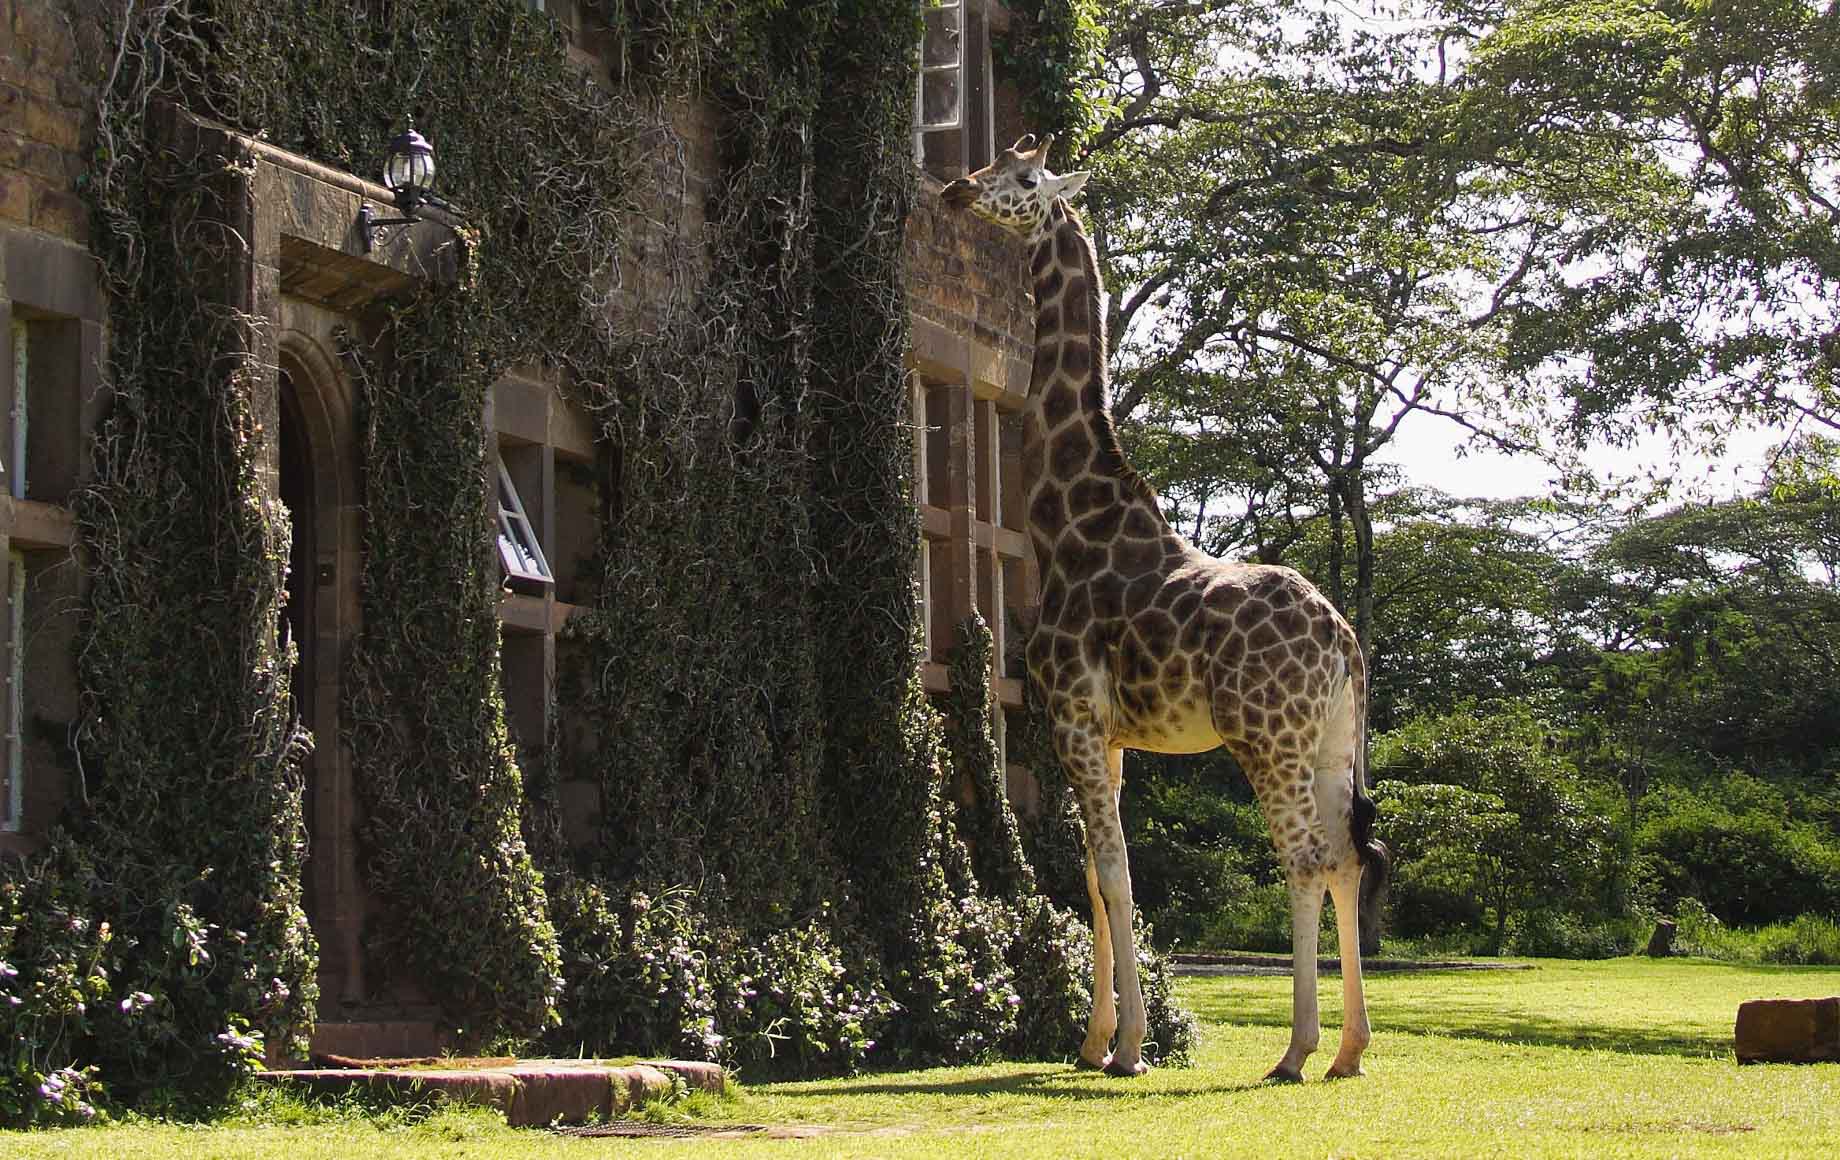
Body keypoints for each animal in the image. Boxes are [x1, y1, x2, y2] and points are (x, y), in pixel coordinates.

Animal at [942, 136, 1383, 1082]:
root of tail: (1342, 639)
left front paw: (1132, 1048)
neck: (1069, 523)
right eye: (995, 162)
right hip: (1331, 740)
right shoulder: (1108, 739)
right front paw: (1092, 1039)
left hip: (1266, 737)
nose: (957, 187)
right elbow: (1094, 877)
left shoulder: (1073, 718)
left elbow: (1114, 877)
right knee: (1347, 859)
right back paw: (1350, 1049)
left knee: (1303, 858)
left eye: (1023, 178)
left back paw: (1296, 1049)